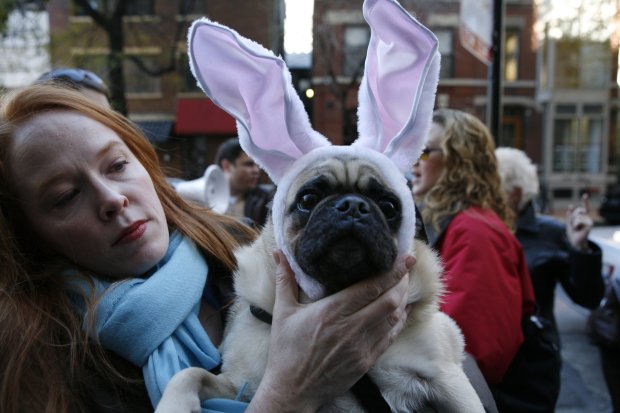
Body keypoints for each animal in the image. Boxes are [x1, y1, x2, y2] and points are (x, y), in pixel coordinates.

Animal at [154, 0, 484, 412]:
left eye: (389, 205)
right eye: (309, 199)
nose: (353, 206)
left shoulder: (448, 379)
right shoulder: (238, 385)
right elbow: (190, 374)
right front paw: (173, 402)